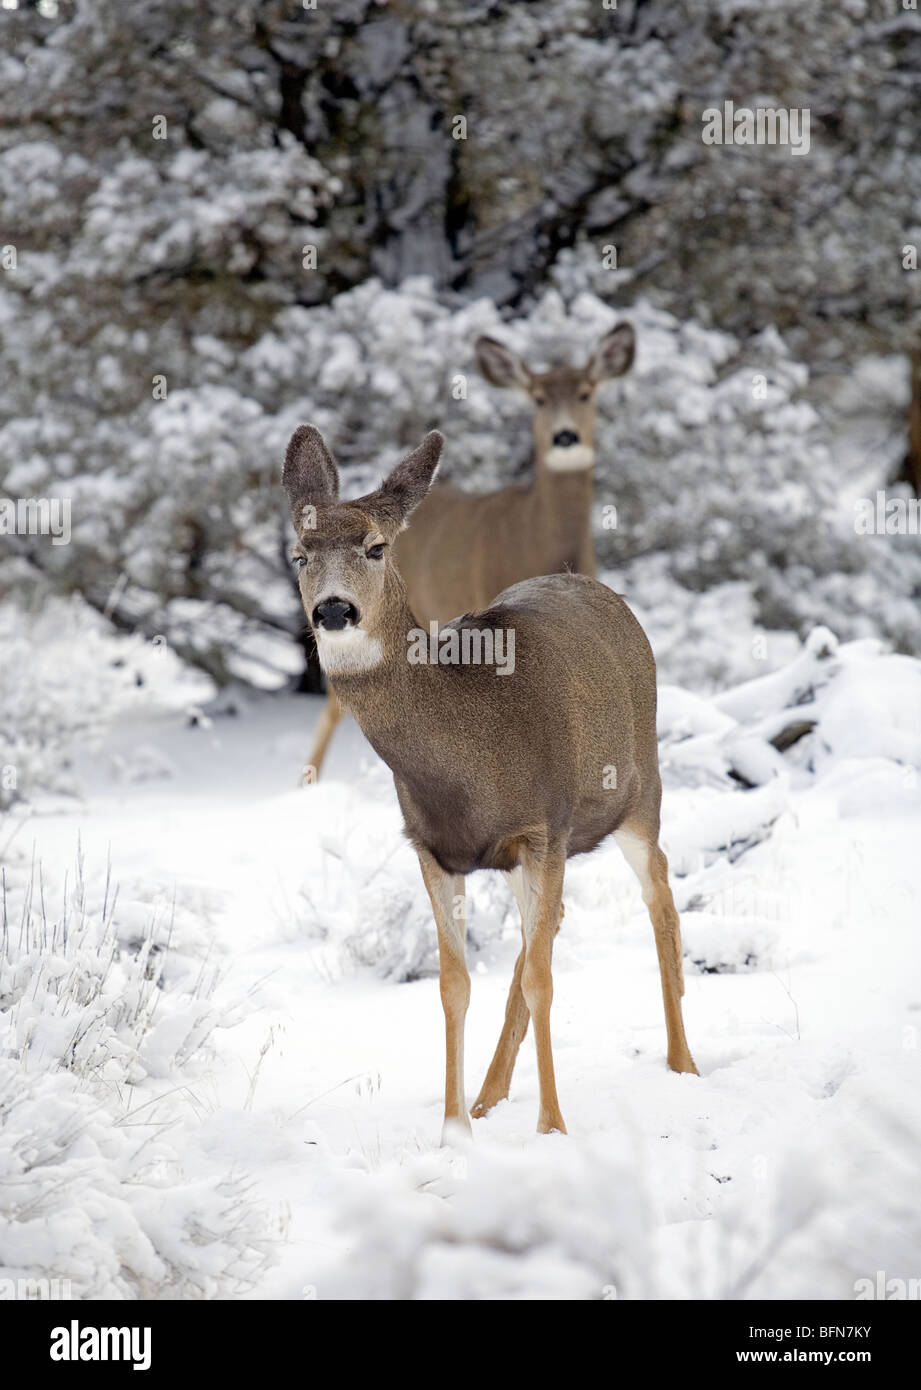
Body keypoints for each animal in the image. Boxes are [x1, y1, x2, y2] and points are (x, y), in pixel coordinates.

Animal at [282, 423, 698, 1141]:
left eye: (375, 546)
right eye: (299, 554)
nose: (334, 611)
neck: (465, 765)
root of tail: (596, 587)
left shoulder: (543, 827)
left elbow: (541, 980)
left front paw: (552, 1127)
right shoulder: (432, 847)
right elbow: (455, 983)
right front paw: (455, 1129)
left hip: (639, 794)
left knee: (660, 898)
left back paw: (683, 1063)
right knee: (547, 929)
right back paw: (487, 1096)